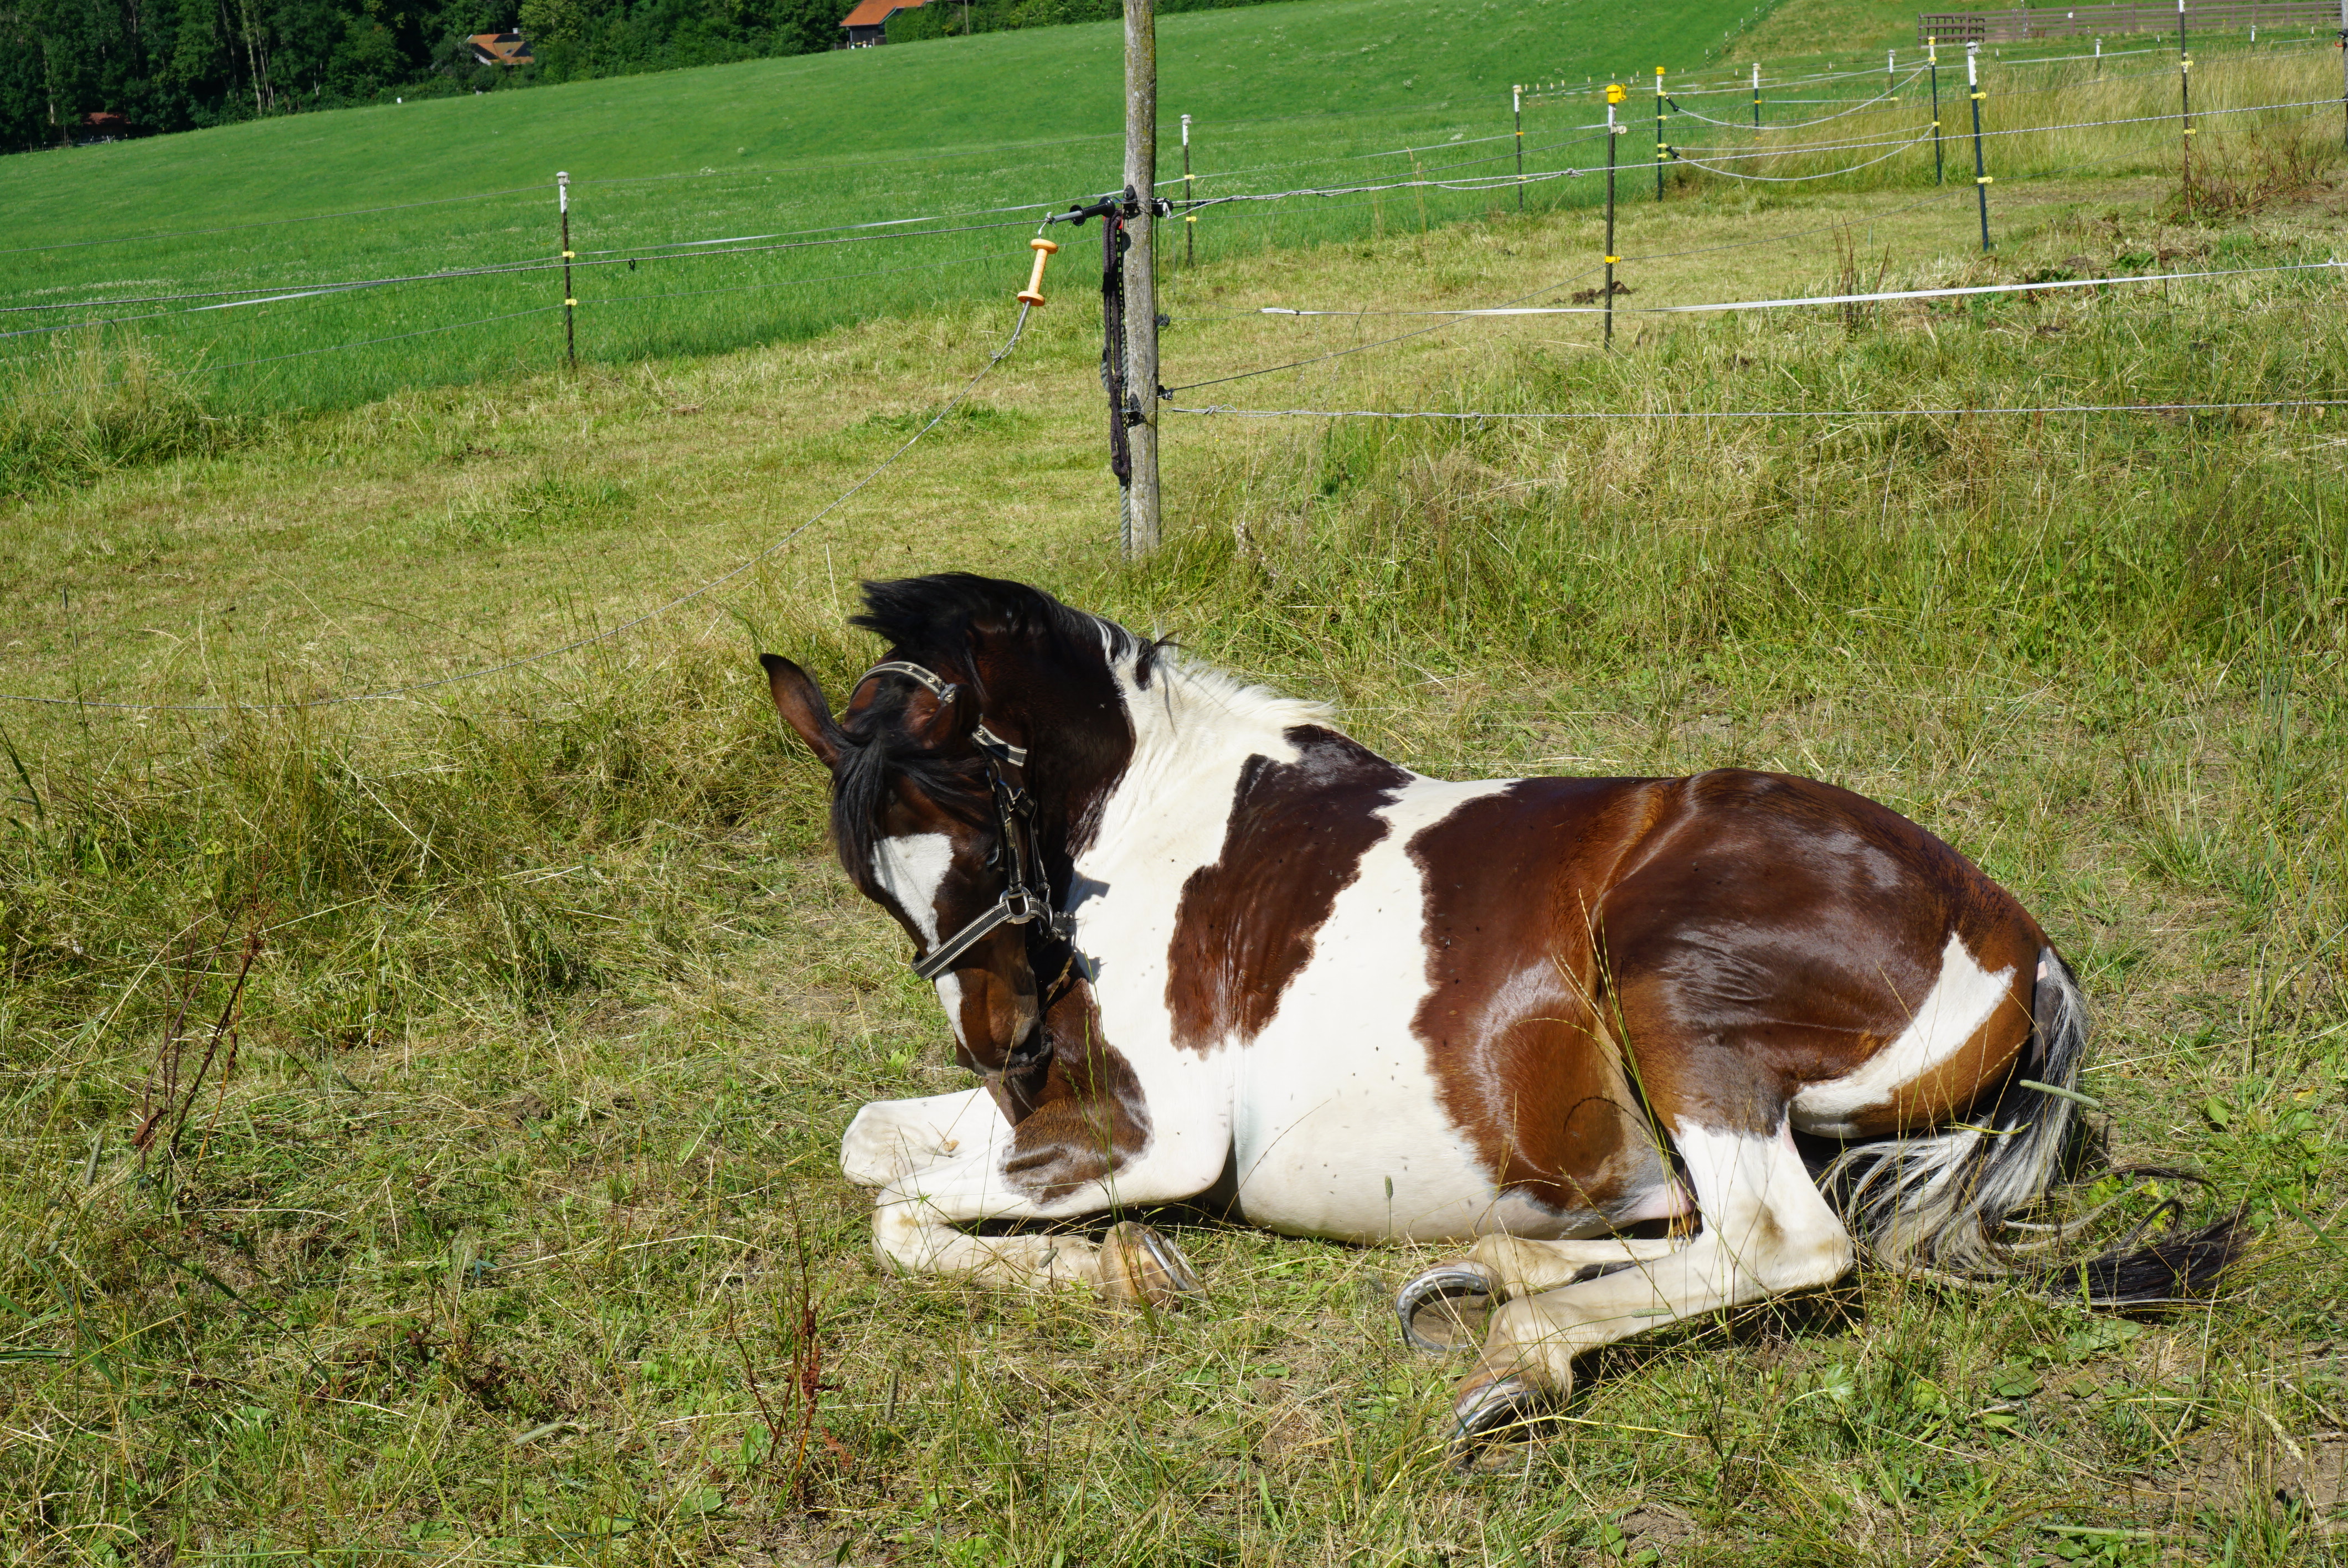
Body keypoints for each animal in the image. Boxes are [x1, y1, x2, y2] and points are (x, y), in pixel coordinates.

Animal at [760, 573, 2238, 1447]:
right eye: (872, 880)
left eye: (978, 818)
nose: (1005, 1047)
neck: (1157, 820)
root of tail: (2017, 942)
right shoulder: (1060, 1114)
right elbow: (868, 1144)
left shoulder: (1151, 1137)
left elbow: (899, 1208)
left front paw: (1122, 1268)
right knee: (1686, 1218)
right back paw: (1491, 1272)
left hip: (1672, 993)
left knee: (1781, 1241)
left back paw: (1517, 1356)